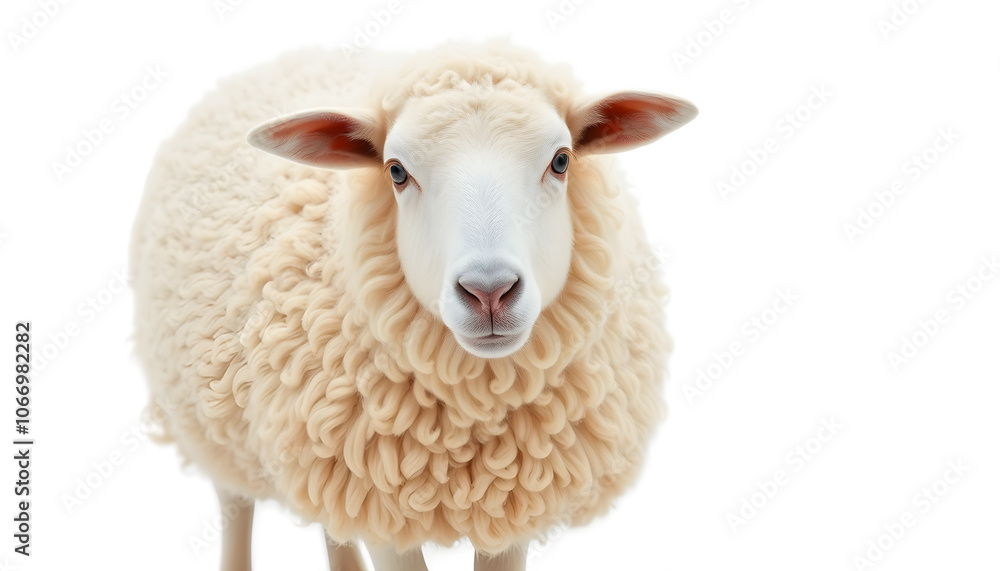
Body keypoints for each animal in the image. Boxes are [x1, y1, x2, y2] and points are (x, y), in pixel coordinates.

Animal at [129, 39, 697, 571]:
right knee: (234, 505)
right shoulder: (381, 508)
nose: (489, 292)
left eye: (560, 160)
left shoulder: (510, 504)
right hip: (209, 418)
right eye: (396, 172)